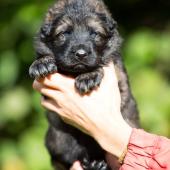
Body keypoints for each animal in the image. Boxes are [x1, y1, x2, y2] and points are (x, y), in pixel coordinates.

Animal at [28, 0, 139, 169]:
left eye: (95, 34)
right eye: (64, 33)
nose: (81, 54)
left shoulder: (119, 78)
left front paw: (88, 76)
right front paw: (42, 62)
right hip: (57, 139)